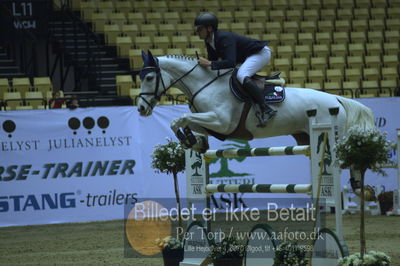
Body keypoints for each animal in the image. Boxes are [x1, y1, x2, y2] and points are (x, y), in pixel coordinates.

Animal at [138, 50, 376, 154]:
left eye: (148, 77)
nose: (140, 108)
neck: (205, 84)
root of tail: (336, 98)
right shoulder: (213, 125)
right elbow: (183, 121)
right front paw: (192, 141)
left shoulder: (221, 122)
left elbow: (181, 118)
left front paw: (187, 139)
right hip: (306, 136)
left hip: (332, 133)